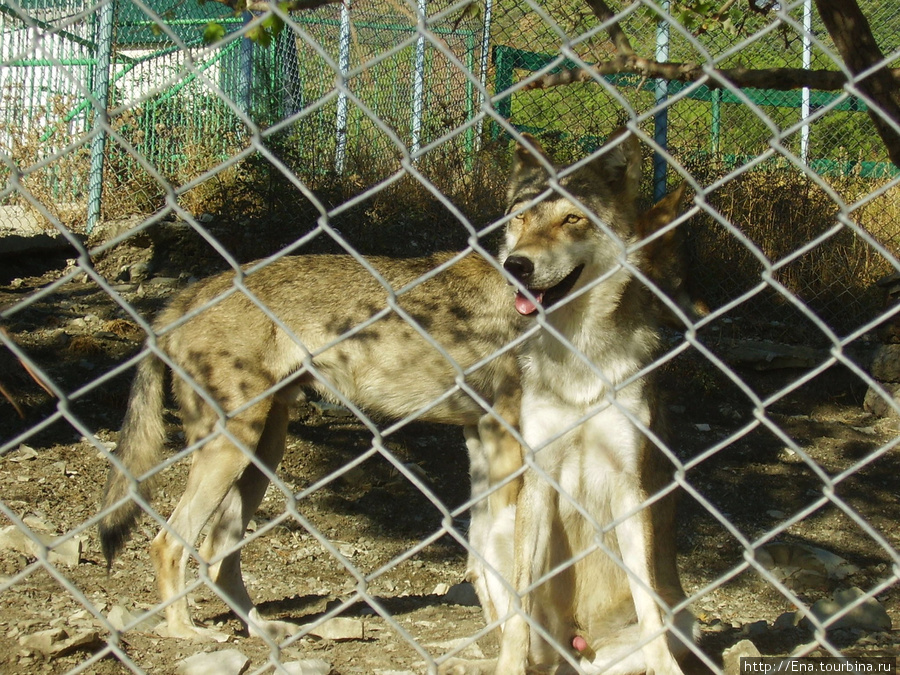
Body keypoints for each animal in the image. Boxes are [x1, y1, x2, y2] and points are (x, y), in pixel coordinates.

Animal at [446, 133, 692, 675]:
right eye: (520, 218)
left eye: (571, 219)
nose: (516, 265)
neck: (577, 355)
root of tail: (576, 645)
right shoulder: (539, 480)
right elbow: (520, 607)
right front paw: (509, 666)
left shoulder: (629, 486)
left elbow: (647, 606)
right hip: (501, 531)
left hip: (680, 618)